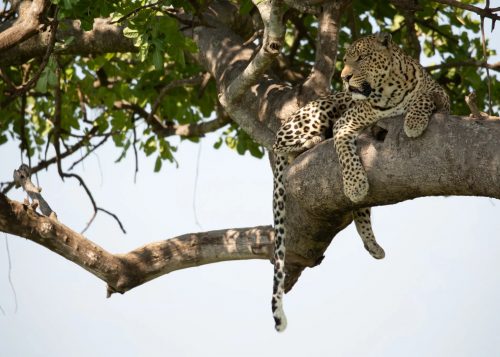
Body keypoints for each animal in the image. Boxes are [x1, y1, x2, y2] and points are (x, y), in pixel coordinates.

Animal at [272, 31, 452, 330]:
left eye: (361, 58)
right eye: (345, 59)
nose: (344, 77)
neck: (389, 91)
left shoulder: (442, 97)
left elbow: (424, 97)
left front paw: (414, 121)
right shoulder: (344, 123)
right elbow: (345, 152)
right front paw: (354, 184)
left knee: (362, 213)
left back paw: (372, 245)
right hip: (318, 112)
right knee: (279, 145)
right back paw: (310, 142)